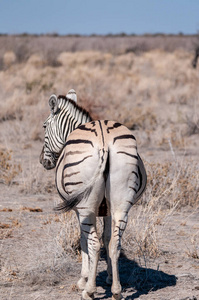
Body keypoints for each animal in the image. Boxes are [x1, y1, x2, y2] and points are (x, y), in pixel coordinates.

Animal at [39, 91, 147, 300]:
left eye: (45, 126)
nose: (43, 161)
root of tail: (104, 142)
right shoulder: (107, 209)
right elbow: (107, 237)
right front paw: (109, 277)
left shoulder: (78, 209)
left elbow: (84, 240)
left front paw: (84, 279)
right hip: (122, 201)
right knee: (115, 243)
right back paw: (116, 291)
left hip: (86, 205)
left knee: (94, 243)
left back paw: (89, 290)